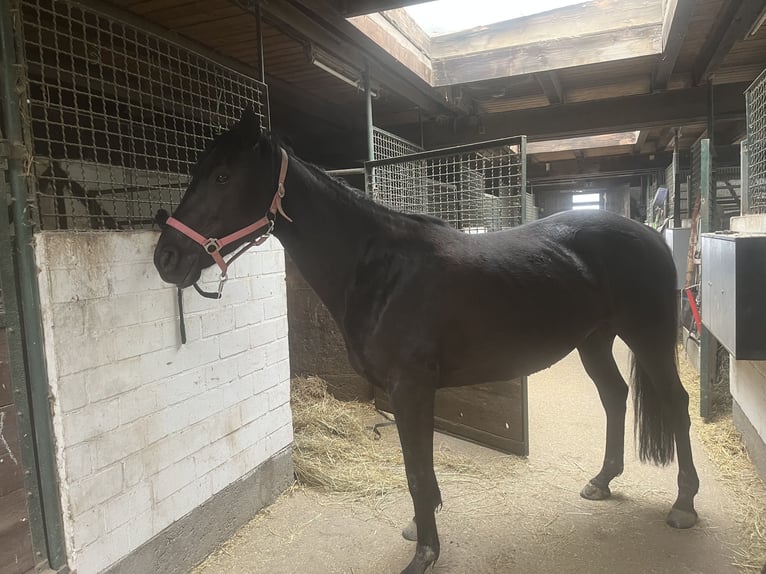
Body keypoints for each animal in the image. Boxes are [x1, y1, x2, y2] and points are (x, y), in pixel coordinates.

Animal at [153, 110, 699, 574]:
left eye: (223, 177)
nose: (166, 257)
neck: (380, 269)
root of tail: (650, 236)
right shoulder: (410, 394)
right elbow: (418, 465)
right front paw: (421, 528)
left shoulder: (410, 388)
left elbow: (417, 468)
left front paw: (425, 554)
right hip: (594, 341)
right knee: (615, 396)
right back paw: (602, 481)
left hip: (646, 335)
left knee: (675, 402)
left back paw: (684, 504)